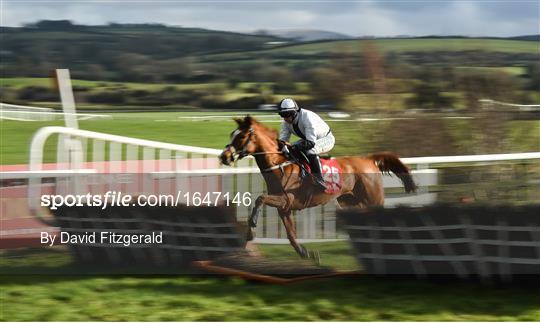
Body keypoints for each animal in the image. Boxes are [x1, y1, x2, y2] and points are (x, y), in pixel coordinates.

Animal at [219, 116, 418, 260]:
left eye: (241, 136)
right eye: (231, 134)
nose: (224, 156)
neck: (279, 165)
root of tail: (368, 159)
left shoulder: (286, 199)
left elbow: (259, 199)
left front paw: (251, 230)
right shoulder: (285, 207)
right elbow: (291, 235)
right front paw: (306, 253)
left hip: (373, 199)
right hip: (351, 201)